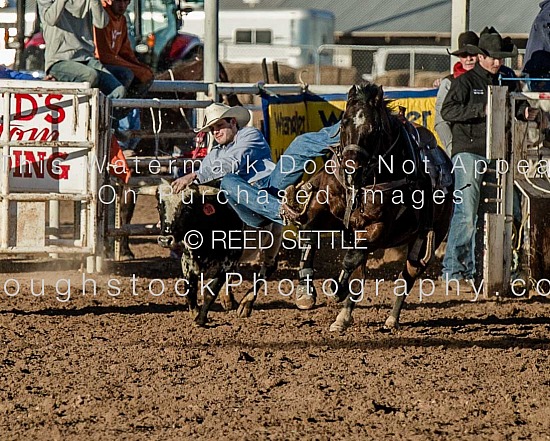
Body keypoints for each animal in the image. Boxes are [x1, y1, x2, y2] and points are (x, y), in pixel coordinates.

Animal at [296, 82, 454, 330]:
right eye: (344, 122)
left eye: (374, 129)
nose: (351, 167)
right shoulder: (325, 212)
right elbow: (309, 234)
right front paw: (306, 293)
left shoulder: (378, 228)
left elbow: (351, 259)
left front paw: (337, 289)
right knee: (360, 273)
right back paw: (343, 317)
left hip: (428, 239)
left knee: (405, 278)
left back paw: (391, 319)